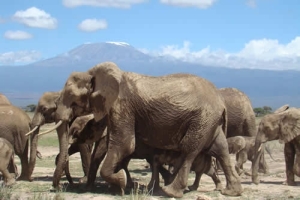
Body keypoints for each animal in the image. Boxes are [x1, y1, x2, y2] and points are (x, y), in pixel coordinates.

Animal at [53, 61, 241, 198]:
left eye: (72, 98)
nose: (58, 188)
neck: (93, 73)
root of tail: (220, 100)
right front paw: (117, 187)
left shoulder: (122, 105)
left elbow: (124, 145)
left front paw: (120, 181)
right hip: (211, 121)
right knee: (220, 149)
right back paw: (231, 192)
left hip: (202, 119)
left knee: (189, 149)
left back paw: (170, 192)